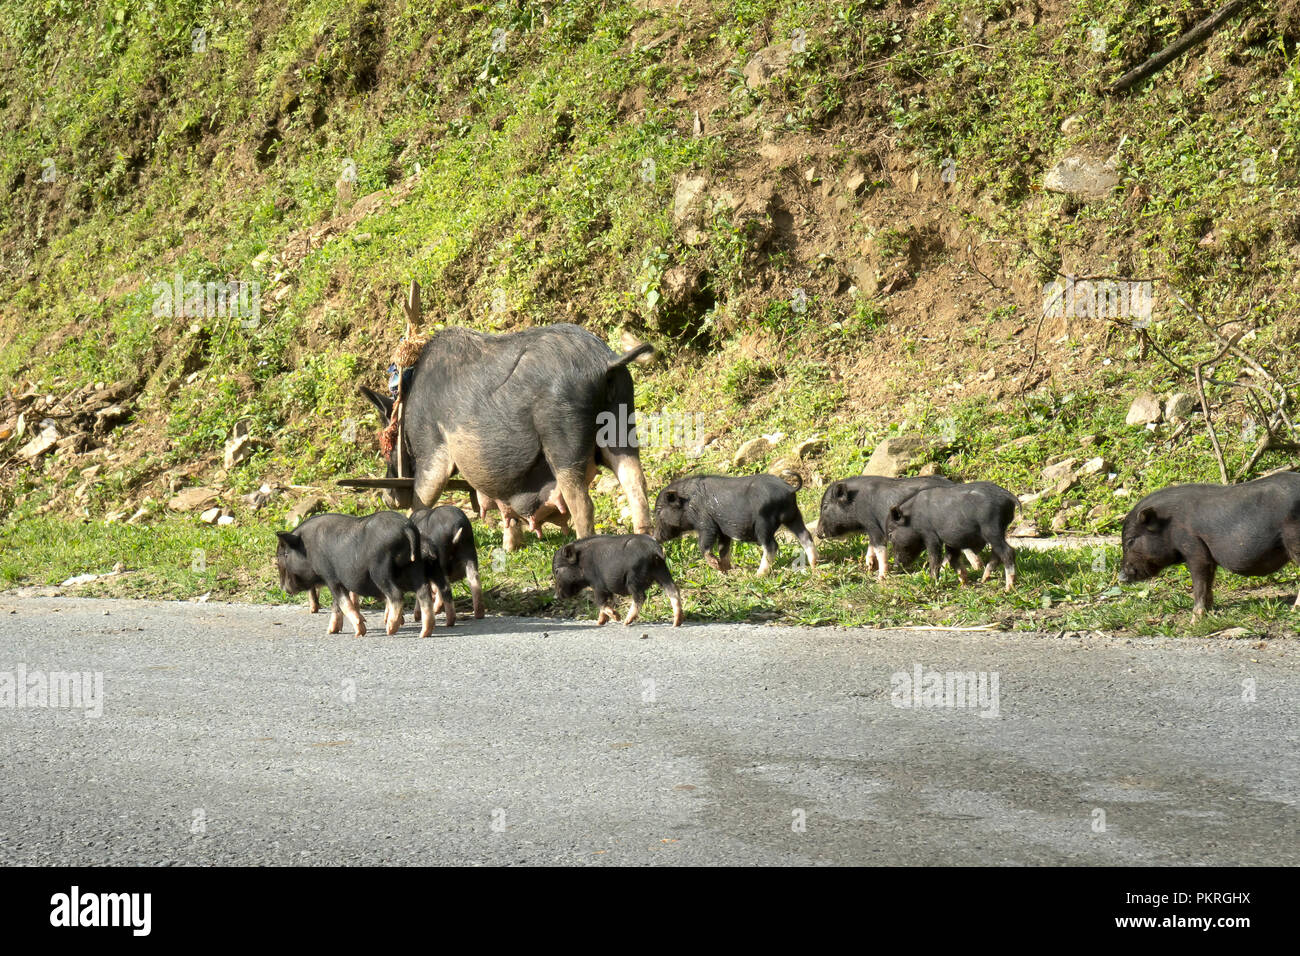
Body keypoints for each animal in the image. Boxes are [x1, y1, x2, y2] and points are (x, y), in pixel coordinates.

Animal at [553, 538, 686, 629]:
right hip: (662, 571)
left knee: (640, 597)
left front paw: (616, 617)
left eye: (557, 571)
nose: (555, 596)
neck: (582, 563)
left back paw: (625, 622)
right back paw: (676, 623)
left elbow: (600, 603)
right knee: (673, 591)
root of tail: (653, 548)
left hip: (634, 578)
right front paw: (599, 623)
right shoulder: (607, 589)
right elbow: (608, 602)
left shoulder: (598, 586)